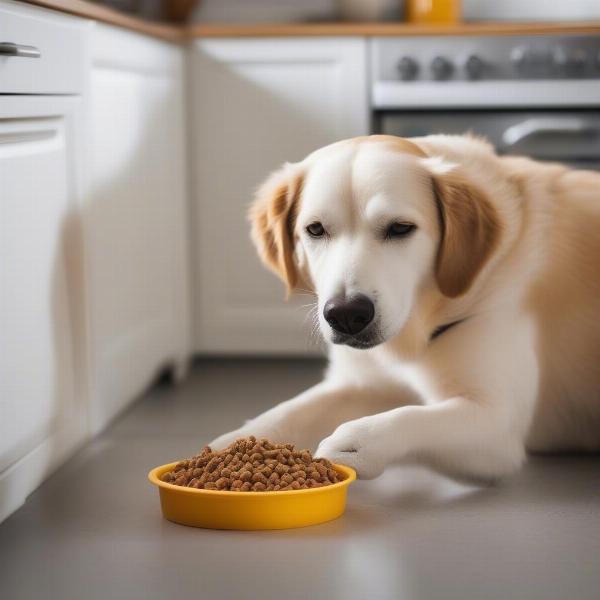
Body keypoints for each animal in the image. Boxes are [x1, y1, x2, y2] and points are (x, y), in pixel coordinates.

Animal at [210, 136, 600, 482]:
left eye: (400, 228)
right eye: (315, 229)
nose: (346, 315)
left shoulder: (497, 426)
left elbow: (413, 416)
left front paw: (356, 443)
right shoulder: (358, 382)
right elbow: (288, 411)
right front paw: (229, 447)